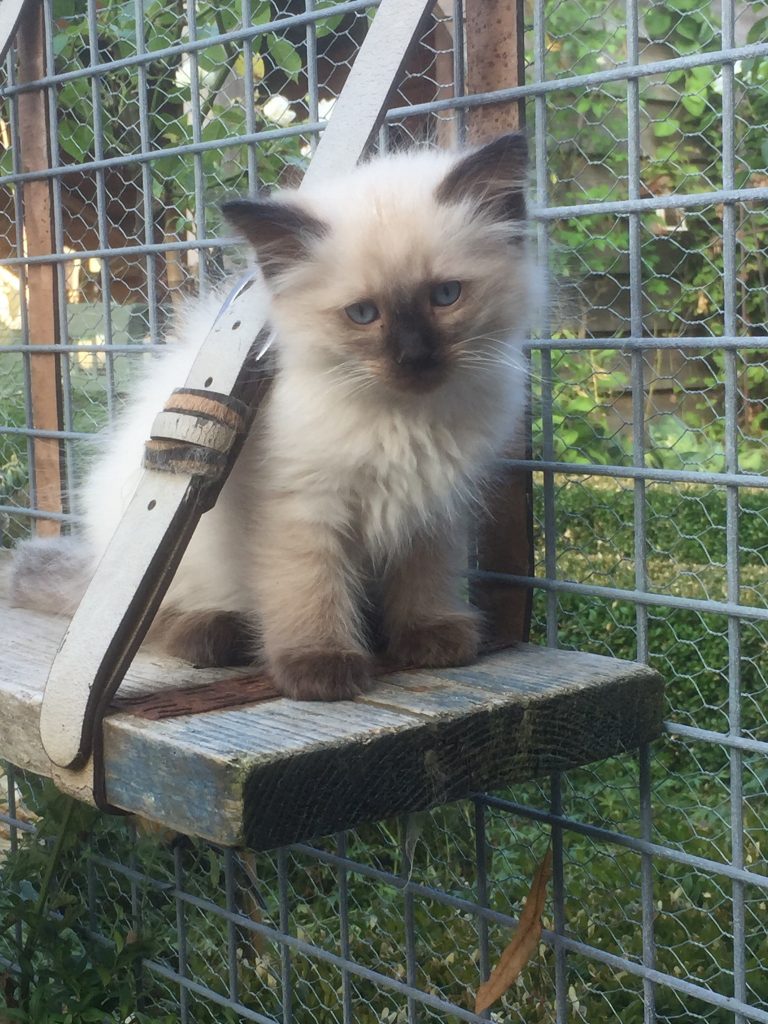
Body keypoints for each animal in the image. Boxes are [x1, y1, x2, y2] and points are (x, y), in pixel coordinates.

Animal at [13, 132, 540, 700]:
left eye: (446, 296)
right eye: (363, 314)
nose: (414, 357)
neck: (403, 421)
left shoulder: (432, 505)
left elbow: (426, 577)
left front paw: (430, 636)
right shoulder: (301, 506)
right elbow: (310, 587)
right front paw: (321, 666)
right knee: (158, 623)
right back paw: (218, 633)